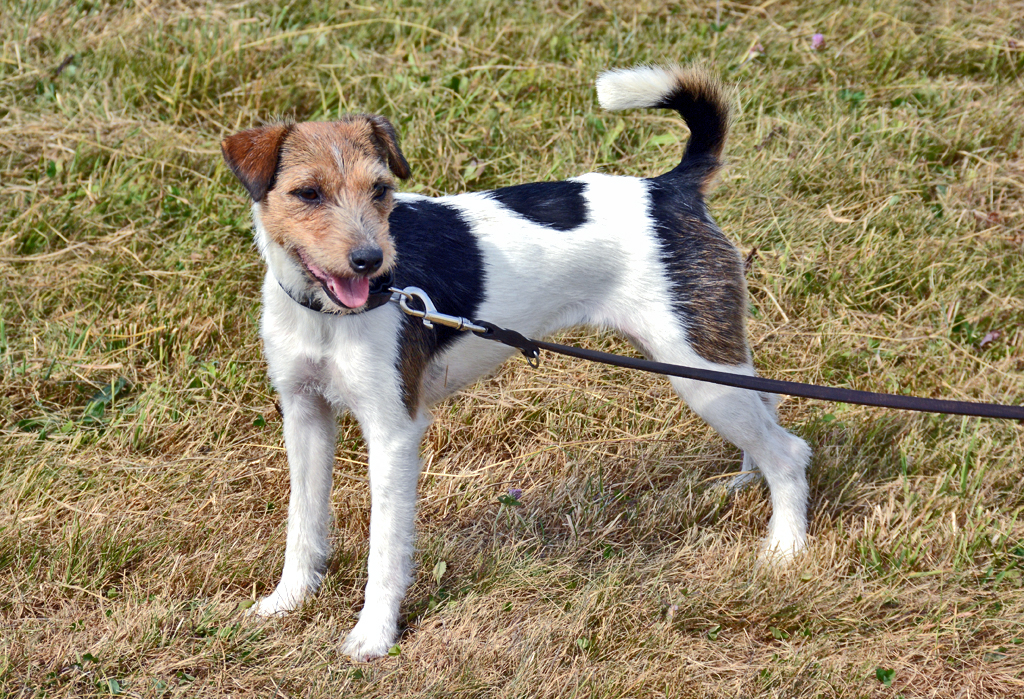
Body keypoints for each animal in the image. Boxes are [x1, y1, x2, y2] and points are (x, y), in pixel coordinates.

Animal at [222, 65, 806, 663]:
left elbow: (385, 547)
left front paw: (373, 635)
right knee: (769, 407)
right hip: (713, 358)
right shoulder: (305, 415)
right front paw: (287, 602)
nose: (371, 261)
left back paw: (785, 548)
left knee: (789, 450)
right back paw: (745, 482)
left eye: (380, 190)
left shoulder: (392, 430)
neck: (326, 314)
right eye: (308, 193)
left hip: (698, 367)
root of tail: (668, 189)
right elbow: (303, 522)